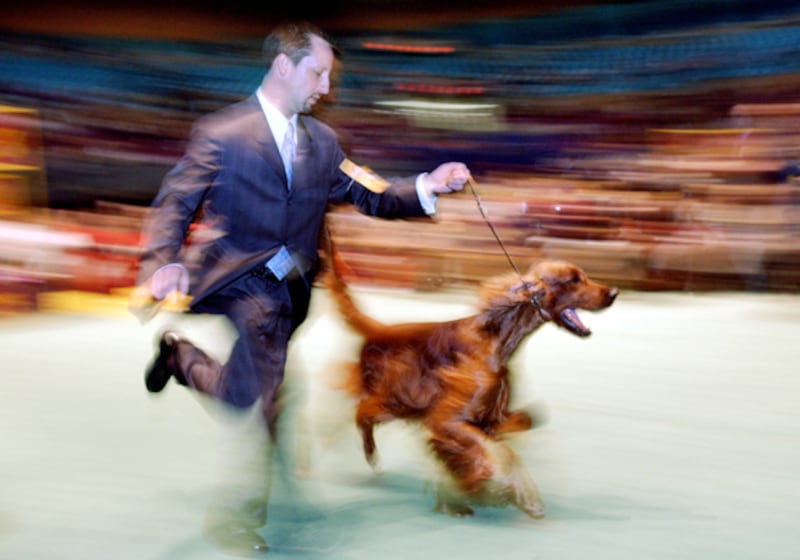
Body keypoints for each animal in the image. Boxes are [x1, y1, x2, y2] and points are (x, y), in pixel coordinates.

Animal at [320, 231, 620, 516]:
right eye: (573, 280)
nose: (614, 292)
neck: (496, 340)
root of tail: (377, 329)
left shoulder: (489, 417)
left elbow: (519, 425)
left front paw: (464, 490)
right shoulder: (446, 419)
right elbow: (502, 454)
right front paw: (519, 495)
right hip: (396, 399)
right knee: (361, 412)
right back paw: (365, 453)